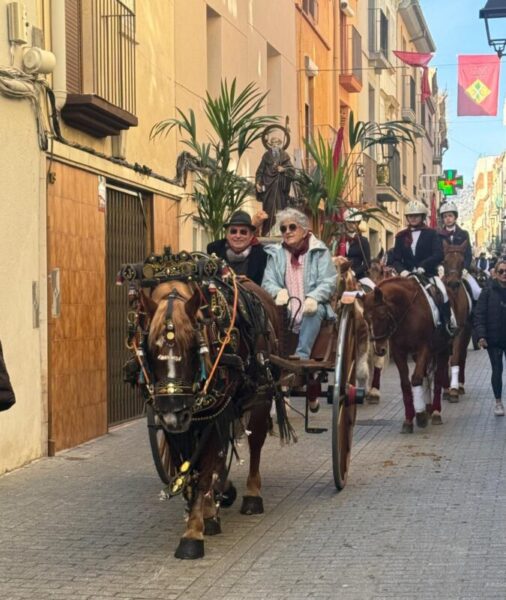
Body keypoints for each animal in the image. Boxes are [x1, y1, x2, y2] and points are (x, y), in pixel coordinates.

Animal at [119, 248, 292, 556]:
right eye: (148, 348)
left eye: (192, 347)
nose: (174, 413)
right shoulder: (178, 424)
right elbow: (189, 467)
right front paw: (203, 512)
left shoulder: (213, 412)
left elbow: (204, 469)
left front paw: (192, 534)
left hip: (261, 394)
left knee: (255, 442)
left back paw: (251, 495)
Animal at [364, 276, 450, 432]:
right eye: (366, 318)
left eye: (382, 315)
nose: (379, 349)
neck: (408, 313)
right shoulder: (399, 352)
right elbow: (405, 384)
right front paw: (409, 419)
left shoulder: (424, 347)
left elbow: (415, 379)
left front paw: (420, 415)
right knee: (426, 376)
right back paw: (428, 408)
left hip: (443, 349)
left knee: (438, 378)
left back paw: (435, 412)